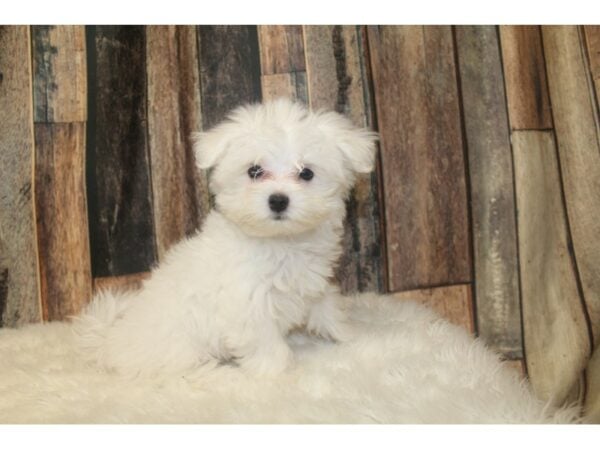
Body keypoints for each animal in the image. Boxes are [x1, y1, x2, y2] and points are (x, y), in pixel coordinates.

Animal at [72, 98, 378, 376]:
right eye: (254, 171)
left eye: (306, 173)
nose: (278, 200)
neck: (280, 242)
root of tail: (110, 342)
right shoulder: (249, 304)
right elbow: (266, 345)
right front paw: (277, 373)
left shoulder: (313, 283)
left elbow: (327, 309)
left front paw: (351, 336)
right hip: (179, 351)